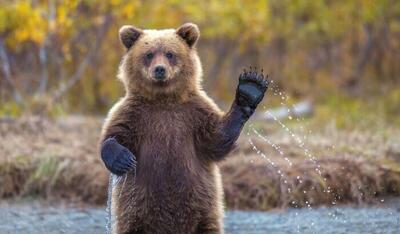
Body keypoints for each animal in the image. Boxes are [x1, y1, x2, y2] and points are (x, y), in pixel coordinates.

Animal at [99, 22, 268, 234]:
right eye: (149, 54)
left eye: (170, 53)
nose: (160, 69)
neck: (163, 99)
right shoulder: (134, 113)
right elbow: (113, 134)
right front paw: (123, 159)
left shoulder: (194, 114)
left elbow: (217, 139)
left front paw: (250, 89)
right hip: (135, 213)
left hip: (204, 211)